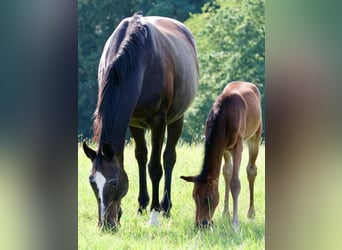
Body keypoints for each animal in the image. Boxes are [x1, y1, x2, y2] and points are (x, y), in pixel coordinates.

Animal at [82, 14, 198, 229]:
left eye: (114, 183)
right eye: (92, 182)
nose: (105, 225)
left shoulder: (158, 121)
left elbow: (155, 167)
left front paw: (154, 215)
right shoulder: (132, 121)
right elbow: (135, 159)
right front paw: (125, 212)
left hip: (177, 118)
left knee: (168, 158)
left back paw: (165, 207)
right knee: (142, 157)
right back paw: (142, 205)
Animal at [182, 81, 262, 228]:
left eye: (207, 199)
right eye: (194, 196)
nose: (200, 224)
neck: (225, 116)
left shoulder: (238, 145)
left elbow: (235, 183)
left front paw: (235, 223)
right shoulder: (223, 147)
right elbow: (226, 174)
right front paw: (226, 214)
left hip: (255, 135)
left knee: (251, 169)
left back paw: (251, 213)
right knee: (227, 171)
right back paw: (226, 213)